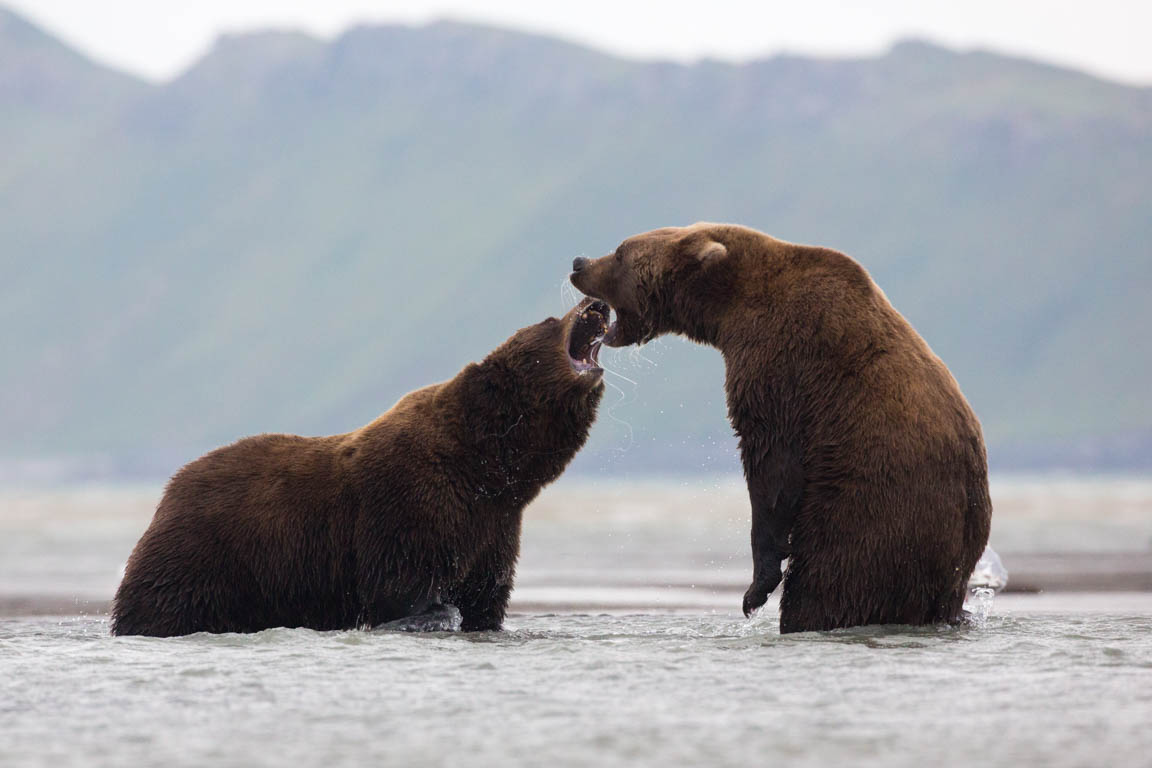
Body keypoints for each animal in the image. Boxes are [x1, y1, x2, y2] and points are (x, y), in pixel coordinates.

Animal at [110, 297, 612, 640]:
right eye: (550, 319)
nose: (596, 304)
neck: (484, 467)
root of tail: (169, 490)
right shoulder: (409, 503)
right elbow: (401, 586)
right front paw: (432, 613)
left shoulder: (492, 529)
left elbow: (483, 600)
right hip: (209, 554)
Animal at [571, 221, 995, 630]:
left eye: (621, 251)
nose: (579, 262)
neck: (728, 308)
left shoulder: (782, 365)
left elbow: (771, 468)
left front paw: (754, 592)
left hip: (871, 523)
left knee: (823, 590)